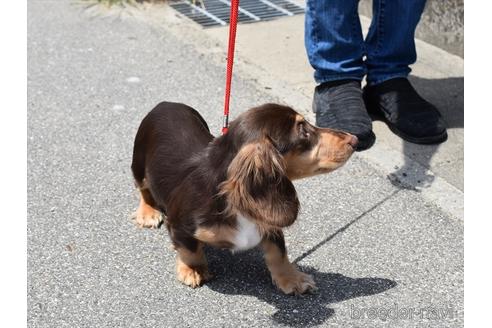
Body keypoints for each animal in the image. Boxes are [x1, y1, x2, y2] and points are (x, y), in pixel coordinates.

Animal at [131, 102, 358, 294]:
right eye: (303, 130)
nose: (354, 140)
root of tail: (166, 103)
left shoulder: (268, 223)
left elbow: (278, 253)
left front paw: (292, 279)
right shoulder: (179, 225)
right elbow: (190, 250)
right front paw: (193, 270)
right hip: (138, 165)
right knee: (144, 190)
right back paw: (148, 213)